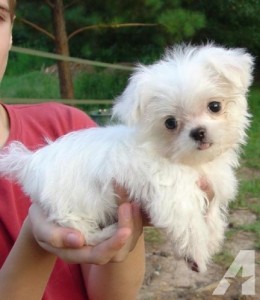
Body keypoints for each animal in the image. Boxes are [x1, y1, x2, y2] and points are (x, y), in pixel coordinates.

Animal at [0, 44, 253, 272]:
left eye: (215, 106)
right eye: (170, 123)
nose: (198, 132)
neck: (186, 160)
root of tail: (30, 161)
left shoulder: (211, 189)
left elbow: (211, 215)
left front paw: (213, 238)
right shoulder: (173, 195)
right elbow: (190, 224)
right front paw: (197, 255)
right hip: (70, 203)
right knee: (79, 231)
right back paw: (106, 233)